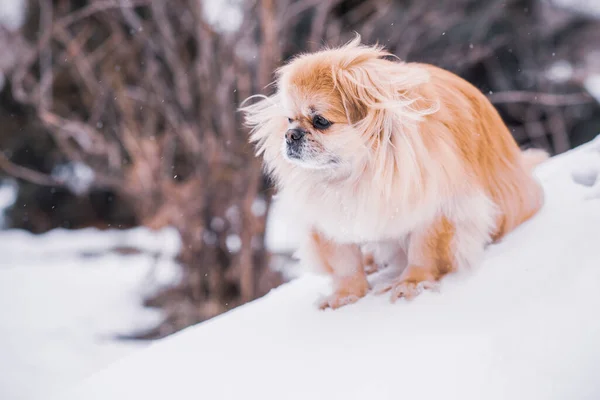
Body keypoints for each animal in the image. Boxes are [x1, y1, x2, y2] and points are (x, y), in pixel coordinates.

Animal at [240, 35, 548, 310]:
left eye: (320, 121)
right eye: (289, 119)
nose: (291, 135)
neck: (358, 173)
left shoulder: (438, 209)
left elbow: (425, 252)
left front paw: (411, 283)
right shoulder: (330, 219)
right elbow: (344, 262)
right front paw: (346, 296)